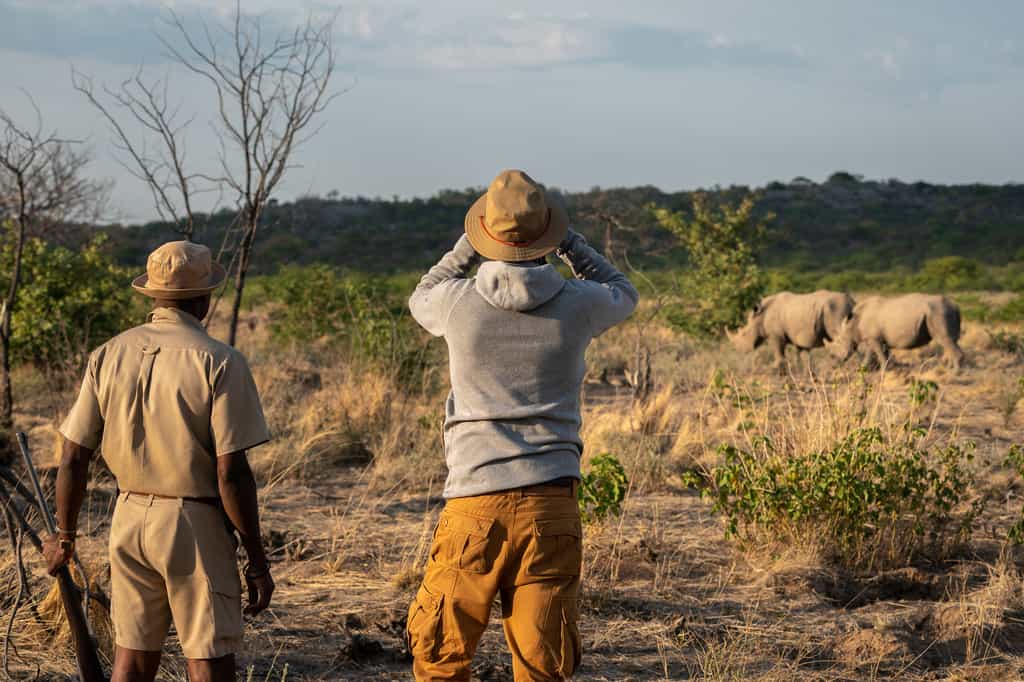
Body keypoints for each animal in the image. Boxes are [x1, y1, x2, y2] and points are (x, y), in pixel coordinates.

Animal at [726, 290, 855, 370]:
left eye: (744, 334)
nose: (737, 349)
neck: (760, 316)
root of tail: (850, 300)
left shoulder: (775, 336)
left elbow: (779, 354)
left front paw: (777, 370)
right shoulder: (799, 336)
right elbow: (800, 355)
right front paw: (803, 371)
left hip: (835, 310)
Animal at [826, 293, 964, 370]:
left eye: (840, 341)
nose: (833, 364)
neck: (853, 323)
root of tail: (956, 306)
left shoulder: (874, 338)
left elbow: (880, 354)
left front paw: (883, 370)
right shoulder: (874, 338)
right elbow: (875, 354)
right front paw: (863, 369)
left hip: (939, 313)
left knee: (945, 339)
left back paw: (953, 374)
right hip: (942, 311)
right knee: (950, 341)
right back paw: (949, 369)